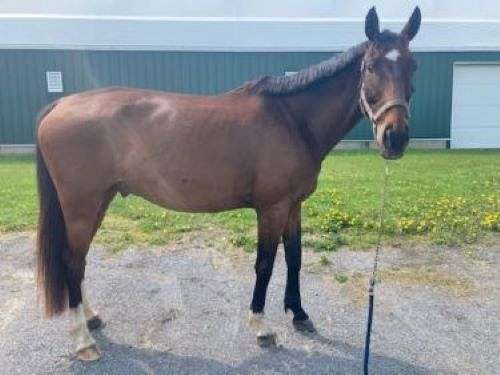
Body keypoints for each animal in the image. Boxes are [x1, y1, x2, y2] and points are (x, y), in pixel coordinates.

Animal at [35, 7, 420, 362]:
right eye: (370, 66)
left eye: (413, 66)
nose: (395, 138)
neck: (292, 120)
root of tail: (60, 103)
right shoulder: (272, 207)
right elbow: (265, 264)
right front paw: (262, 327)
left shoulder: (293, 205)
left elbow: (295, 257)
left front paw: (299, 315)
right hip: (82, 206)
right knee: (72, 261)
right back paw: (83, 341)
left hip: (99, 201)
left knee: (79, 262)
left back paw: (91, 318)